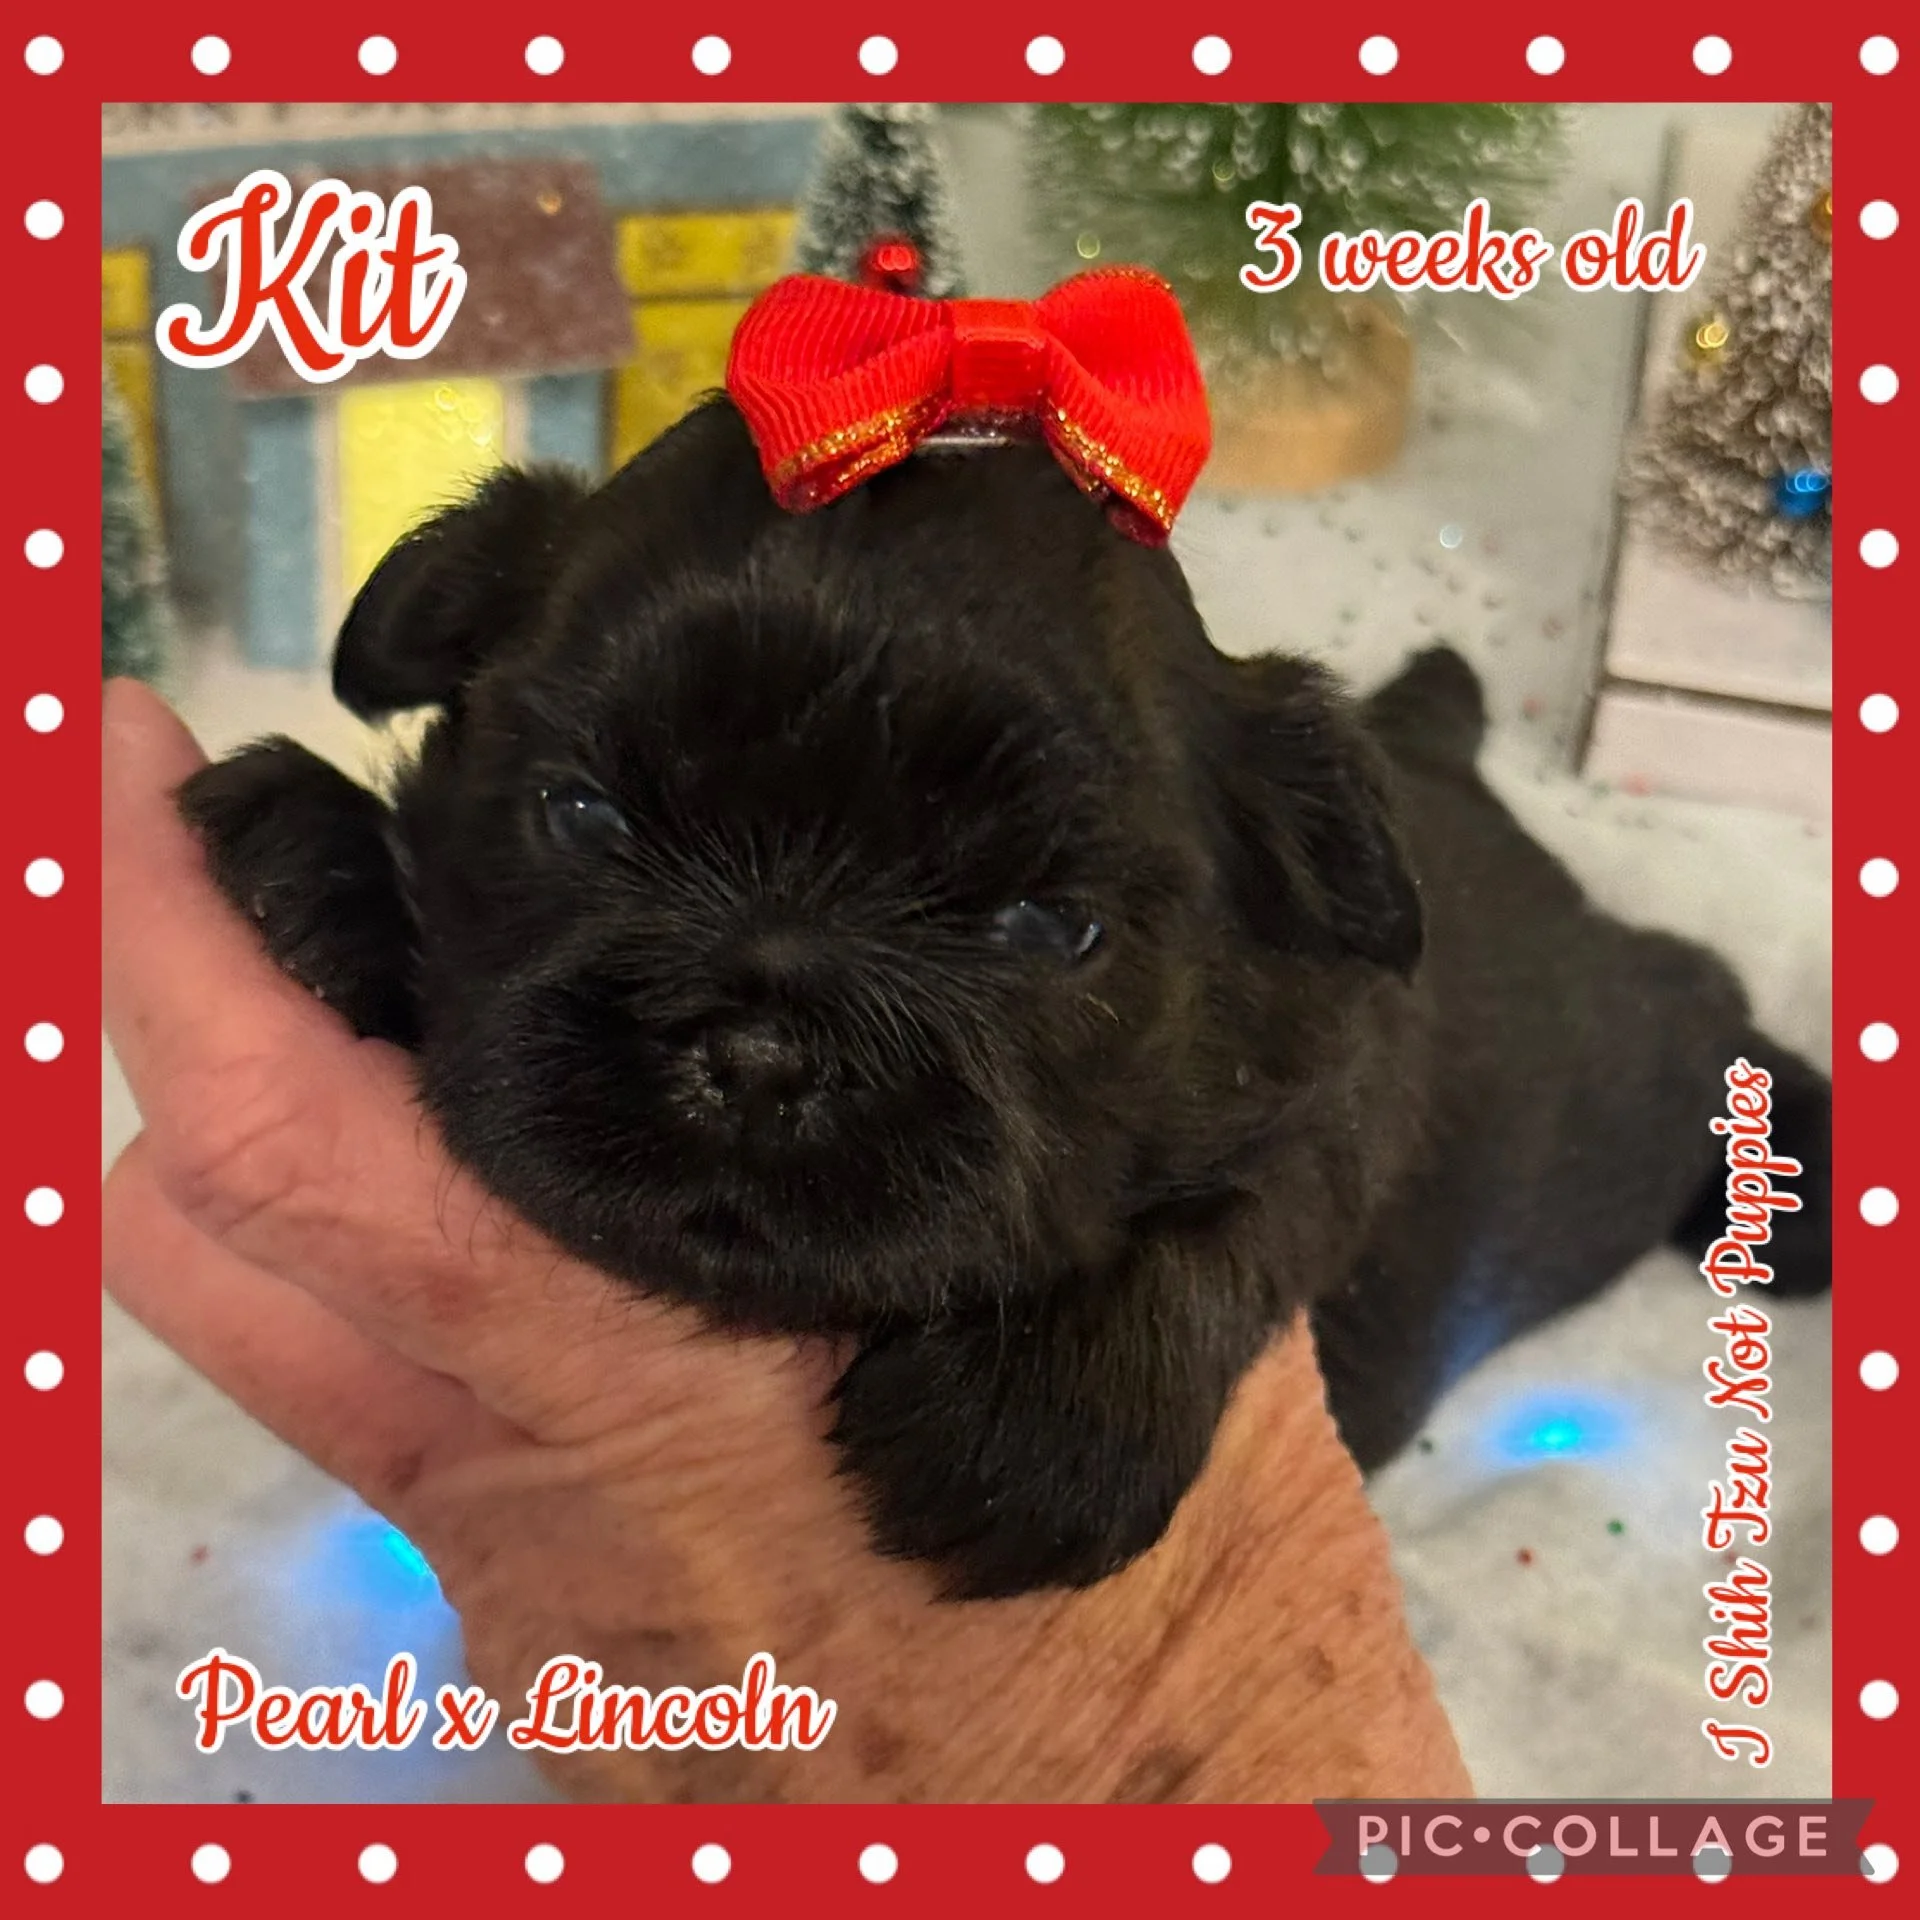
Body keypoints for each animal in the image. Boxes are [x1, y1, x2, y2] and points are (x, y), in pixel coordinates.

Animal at [177, 395, 1831, 1598]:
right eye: (582, 816)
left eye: (1048, 925)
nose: (760, 1054)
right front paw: (317, 867)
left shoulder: (1344, 1069)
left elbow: (1249, 1212)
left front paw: (1045, 1421)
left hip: (1600, 1106)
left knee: (1692, 997)